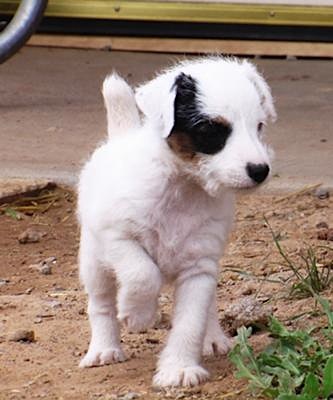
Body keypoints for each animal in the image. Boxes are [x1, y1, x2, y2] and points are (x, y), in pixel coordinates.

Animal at [77, 57, 274, 388]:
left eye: (259, 126)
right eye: (210, 129)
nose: (261, 171)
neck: (184, 187)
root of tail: (121, 137)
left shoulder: (200, 267)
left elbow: (190, 322)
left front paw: (179, 368)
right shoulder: (117, 238)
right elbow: (142, 273)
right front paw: (139, 315)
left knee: (208, 306)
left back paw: (213, 338)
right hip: (94, 262)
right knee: (101, 303)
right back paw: (104, 349)